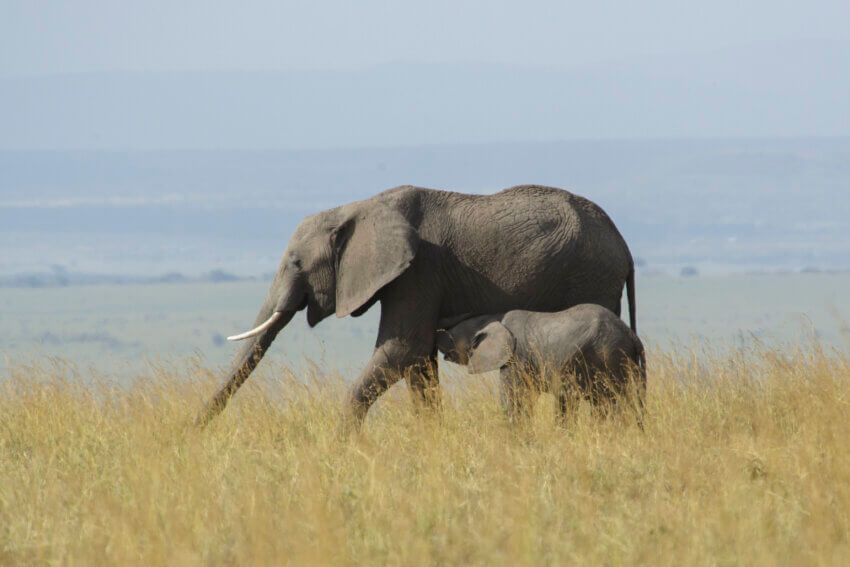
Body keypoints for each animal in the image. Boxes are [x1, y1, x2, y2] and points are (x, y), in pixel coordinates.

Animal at [434, 306, 644, 422]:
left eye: (451, 335)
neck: (495, 317)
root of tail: (632, 335)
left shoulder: (517, 358)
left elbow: (514, 400)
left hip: (608, 356)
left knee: (612, 402)